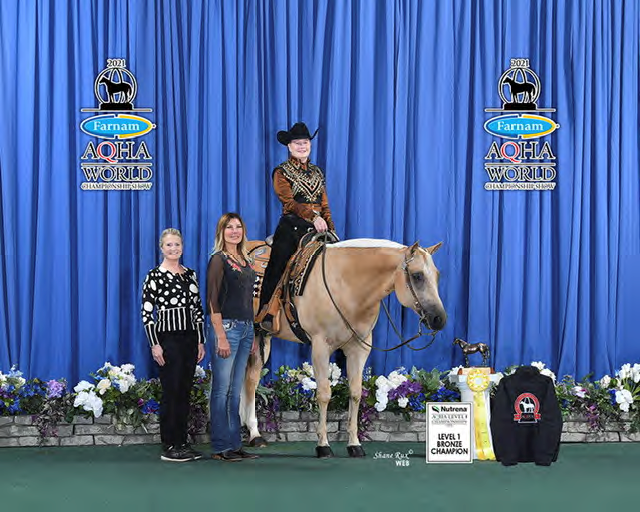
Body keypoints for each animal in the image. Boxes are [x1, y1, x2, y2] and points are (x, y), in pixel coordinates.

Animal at [240, 238, 447, 458]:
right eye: (417, 276)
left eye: (437, 275)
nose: (439, 319)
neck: (346, 285)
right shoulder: (320, 347)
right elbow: (324, 394)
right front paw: (323, 445)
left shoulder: (359, 348)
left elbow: (355, 392)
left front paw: (354, 445)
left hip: (261, 337)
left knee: (250, 380)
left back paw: (254, 435)